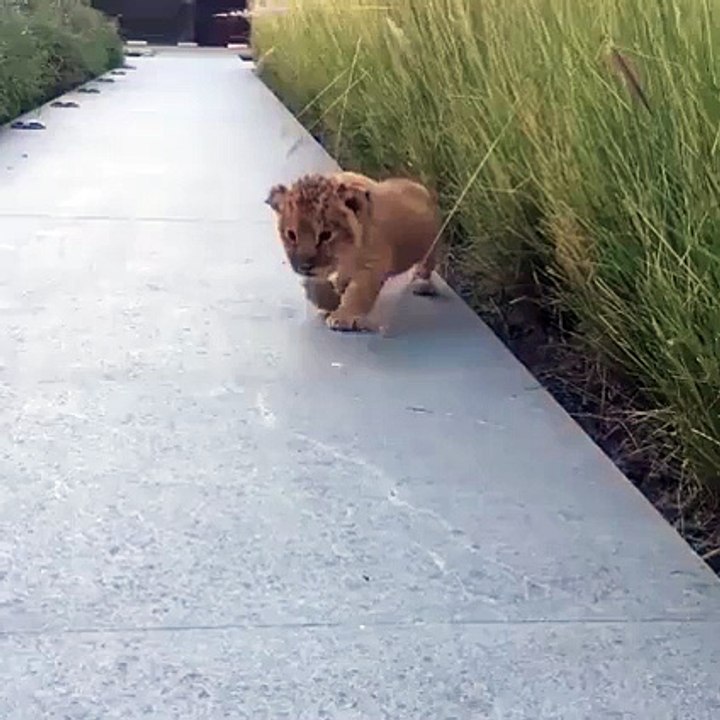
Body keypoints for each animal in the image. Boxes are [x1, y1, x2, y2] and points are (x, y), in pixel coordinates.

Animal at [265, 170, 442, 331]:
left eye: (325, 235)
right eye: (291, 235)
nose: (305, 267)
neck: (345, 253)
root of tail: (418, 186)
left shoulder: (373, 264)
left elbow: (358, 292)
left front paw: (341, 317)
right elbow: (316, 285)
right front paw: (329, 303)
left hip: (431, 245)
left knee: (426, 265)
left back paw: (421, 284)